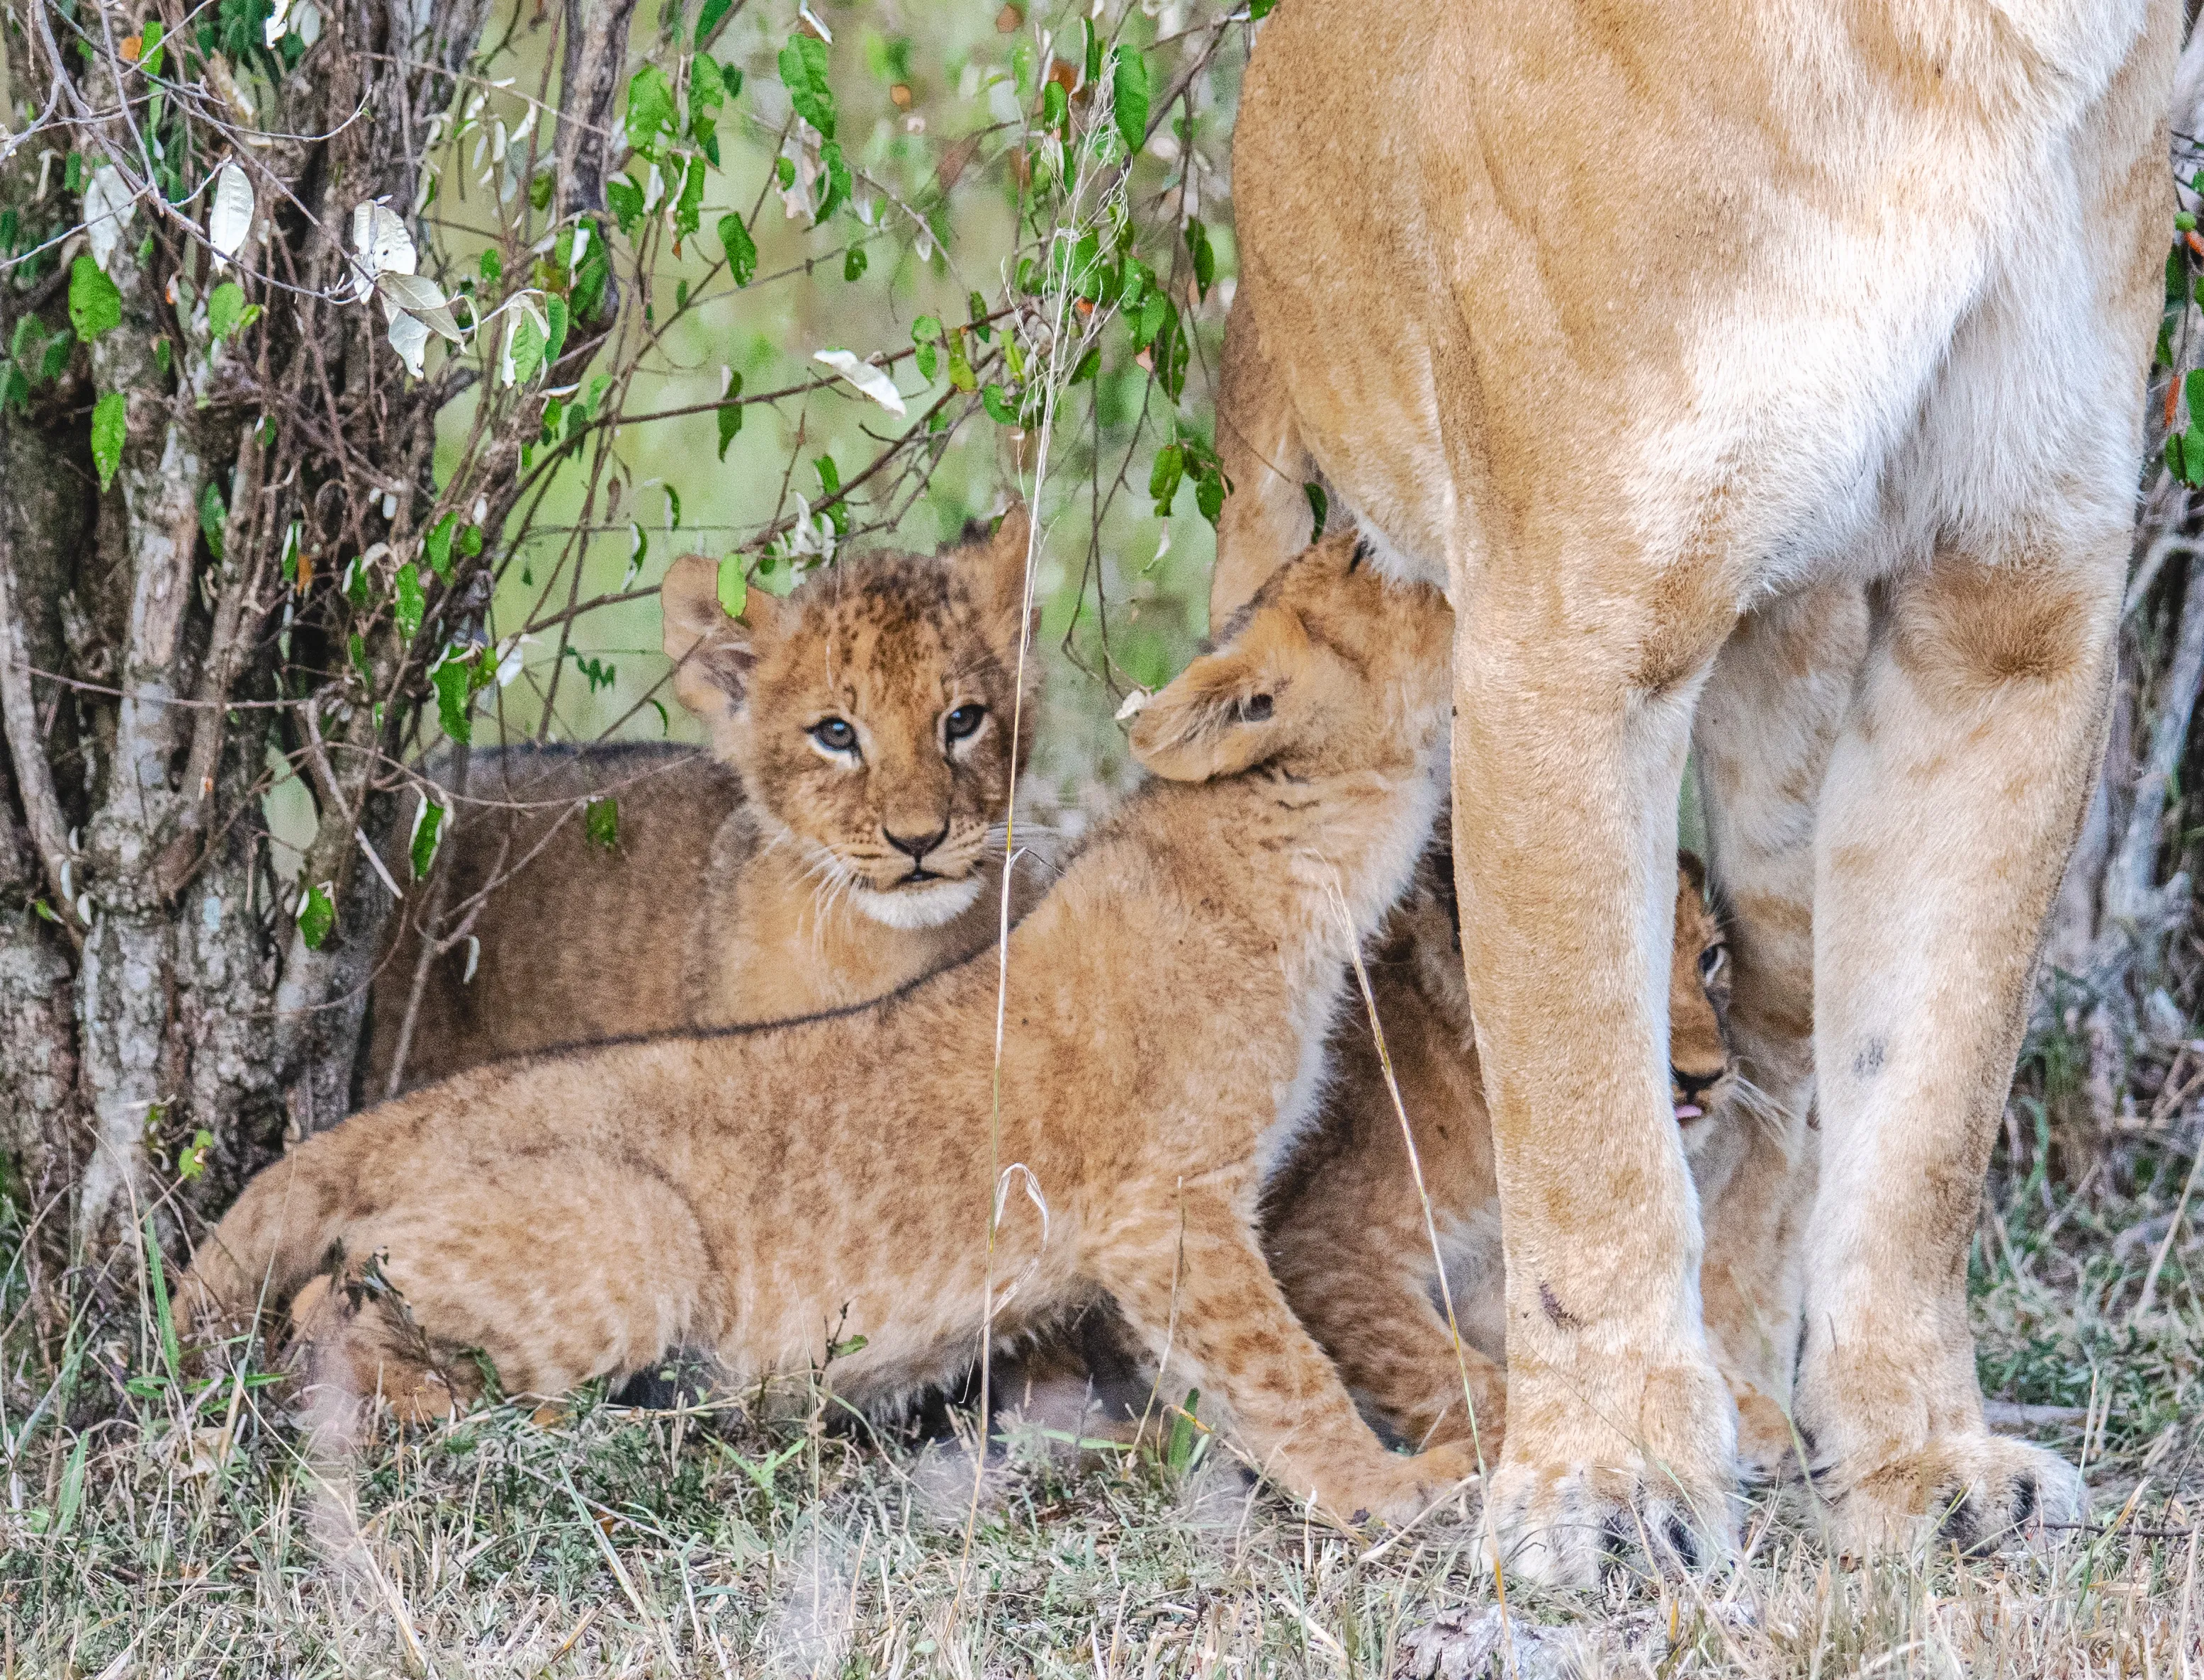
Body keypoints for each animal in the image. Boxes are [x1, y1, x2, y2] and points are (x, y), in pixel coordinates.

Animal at [1217, 0, 2176, 1577]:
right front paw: (1603, 1486)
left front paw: (1924, 1463)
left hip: (1794, 725)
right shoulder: (1571, 633)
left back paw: (1762, 1402)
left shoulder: (2010, 622)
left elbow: (1926, 1112)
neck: (1969, 53)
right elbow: (1587, 1116)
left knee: (1782, 1073)